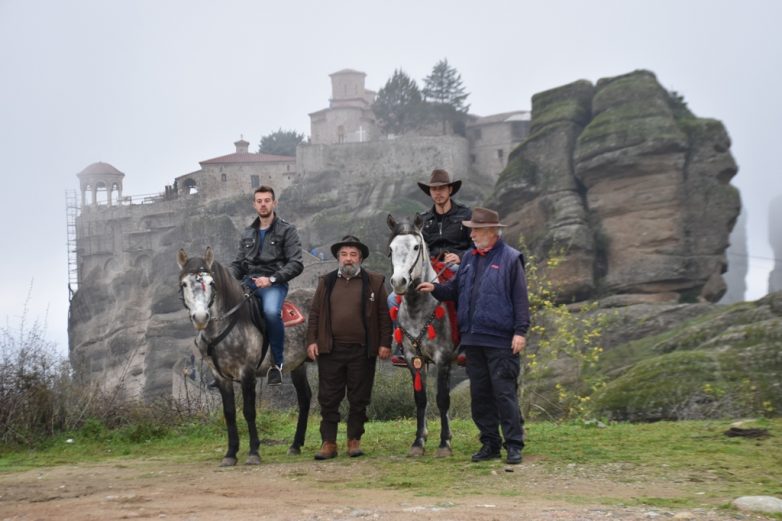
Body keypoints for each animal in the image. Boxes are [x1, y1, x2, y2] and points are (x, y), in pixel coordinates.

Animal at [178, 246, 312, 466]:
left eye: (211, 283)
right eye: (184, 284)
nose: (201, 317)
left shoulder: (247, 372)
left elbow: (249, 411)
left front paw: (254, 452)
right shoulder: (220, 376)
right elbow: (229, 413)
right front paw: (230, 454)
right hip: (299, 365)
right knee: (305, 398)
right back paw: (295, 445)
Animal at [388, 214, 460, 456]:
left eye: (416, 247)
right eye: (391, 248)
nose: (399, 281)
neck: (418, 308)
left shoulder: (443, 359)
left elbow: (443, 399)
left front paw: (445, 443)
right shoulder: (414, 359)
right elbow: (421, 399)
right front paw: (419, 441)